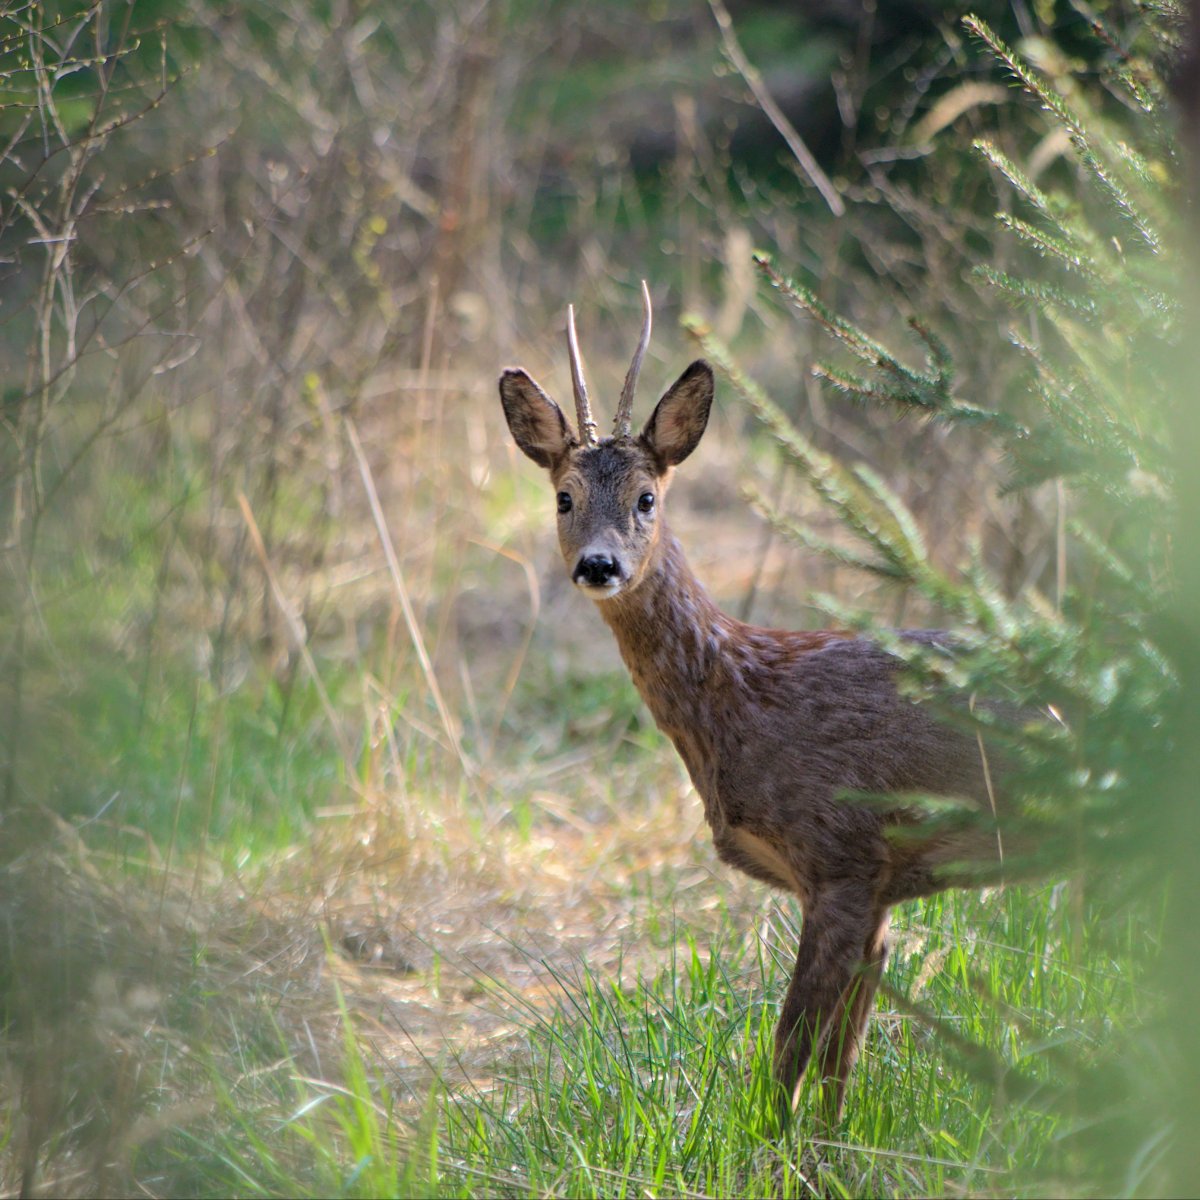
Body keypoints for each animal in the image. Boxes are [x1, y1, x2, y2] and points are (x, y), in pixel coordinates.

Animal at [496, 285, 1003, 1118]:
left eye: (646, 497)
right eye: (564, 497)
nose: (599, 565)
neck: (741, 693)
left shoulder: (841, 856)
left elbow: (789, 1058)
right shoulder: (876, 892)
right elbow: (836, 1067)